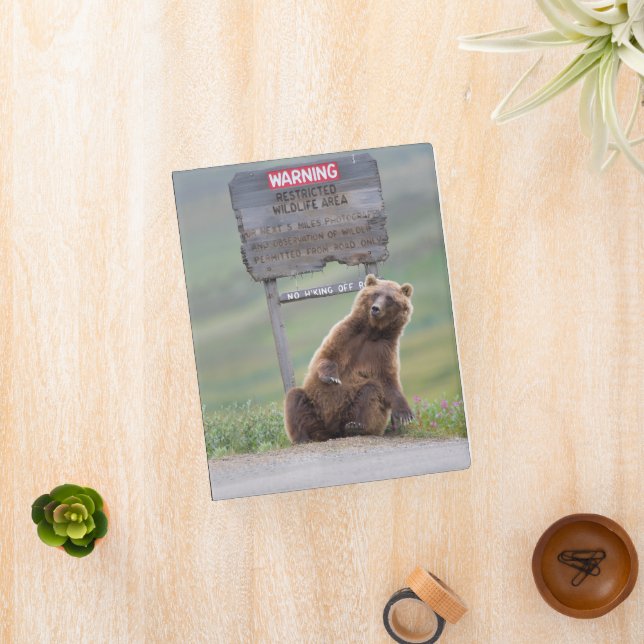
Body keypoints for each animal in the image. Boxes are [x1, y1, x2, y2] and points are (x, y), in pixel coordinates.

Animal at [284, 274, 415, 443]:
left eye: (390, 298)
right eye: (375, 294)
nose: (375, 308)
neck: (371, 331)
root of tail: (332, 433)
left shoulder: (383, 350)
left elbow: (388, 381)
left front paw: (405, 413)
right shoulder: (346, 334)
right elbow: (326, 355)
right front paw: (332, 377)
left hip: (348, 410)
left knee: (370, 391)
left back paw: (356, 426)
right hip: (315, 406)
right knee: (295, 398)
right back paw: (303, 437)